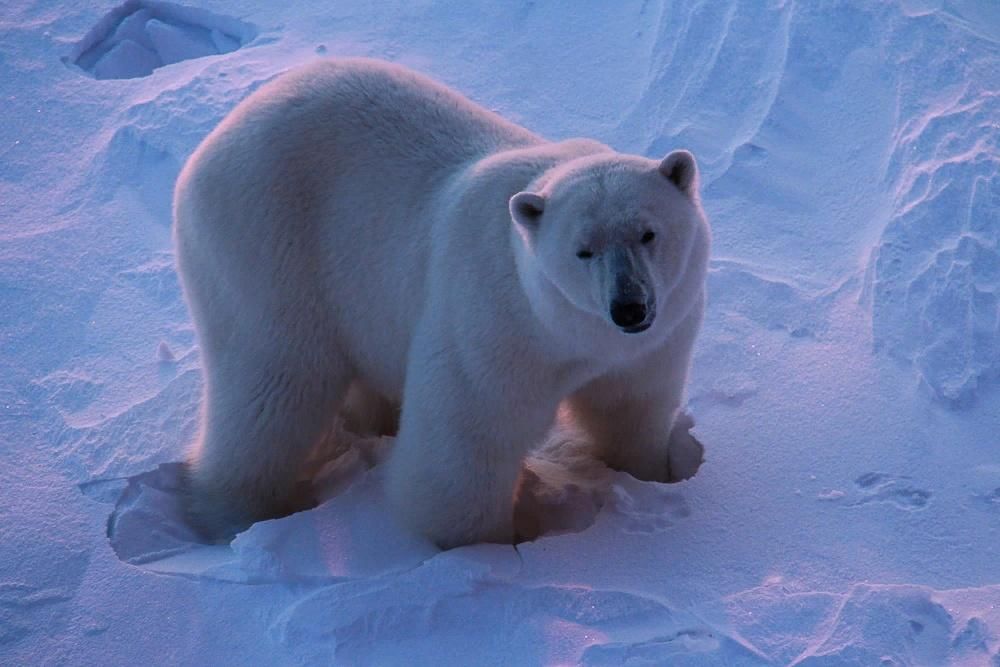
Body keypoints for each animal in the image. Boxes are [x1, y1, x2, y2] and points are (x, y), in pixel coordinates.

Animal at [178, 57, 712, 548]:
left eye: (648, 233)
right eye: (583, 250)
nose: (630, 307)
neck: (565, 332)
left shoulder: (658, 336)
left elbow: (631, 407)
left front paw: (651, 476)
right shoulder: (494, 321)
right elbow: (467, 442)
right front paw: (486, 549)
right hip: (268, 246)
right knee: (273, 387)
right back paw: (235, 512)